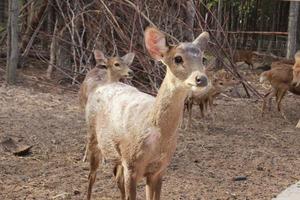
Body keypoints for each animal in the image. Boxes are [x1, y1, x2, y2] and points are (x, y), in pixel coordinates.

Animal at [85, 27, 210, 200]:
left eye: (203, 59)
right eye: (178, 58)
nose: (201, 79)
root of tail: (105, 84)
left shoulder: (159, 169)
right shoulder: (131, 164)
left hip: (118, 155)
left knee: (117, 177)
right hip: (93, 136)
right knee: (92, 176)